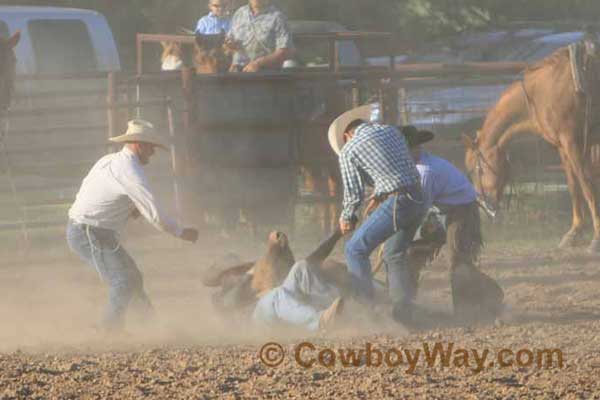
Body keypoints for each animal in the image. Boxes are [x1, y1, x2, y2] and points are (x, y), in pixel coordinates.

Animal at [464, 40, 600, 253]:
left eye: (474, 170)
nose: (485, 207)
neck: (542, 93)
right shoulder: (563, 147)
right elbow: (574, 187)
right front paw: (573, 234)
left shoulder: (573, 143)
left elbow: (587, 187)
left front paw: (596, 239)